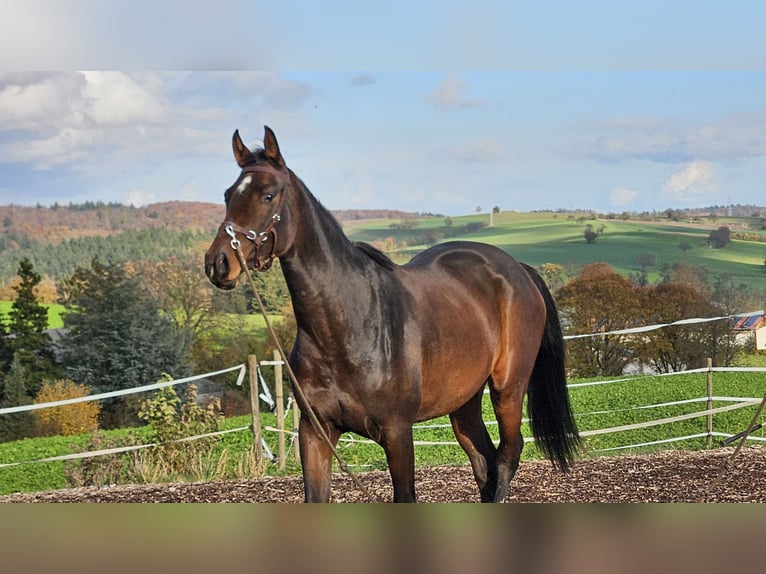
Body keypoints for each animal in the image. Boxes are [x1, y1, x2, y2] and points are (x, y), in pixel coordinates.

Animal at [205, 126, 581, 502]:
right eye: (227, 195)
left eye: (268, 195)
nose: (218, 263)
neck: (345, 327)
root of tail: (517, 269)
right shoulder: (315, 432)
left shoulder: (398, 432)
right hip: (464, 402)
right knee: (483, 461)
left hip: (509, 388)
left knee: (506, 457)